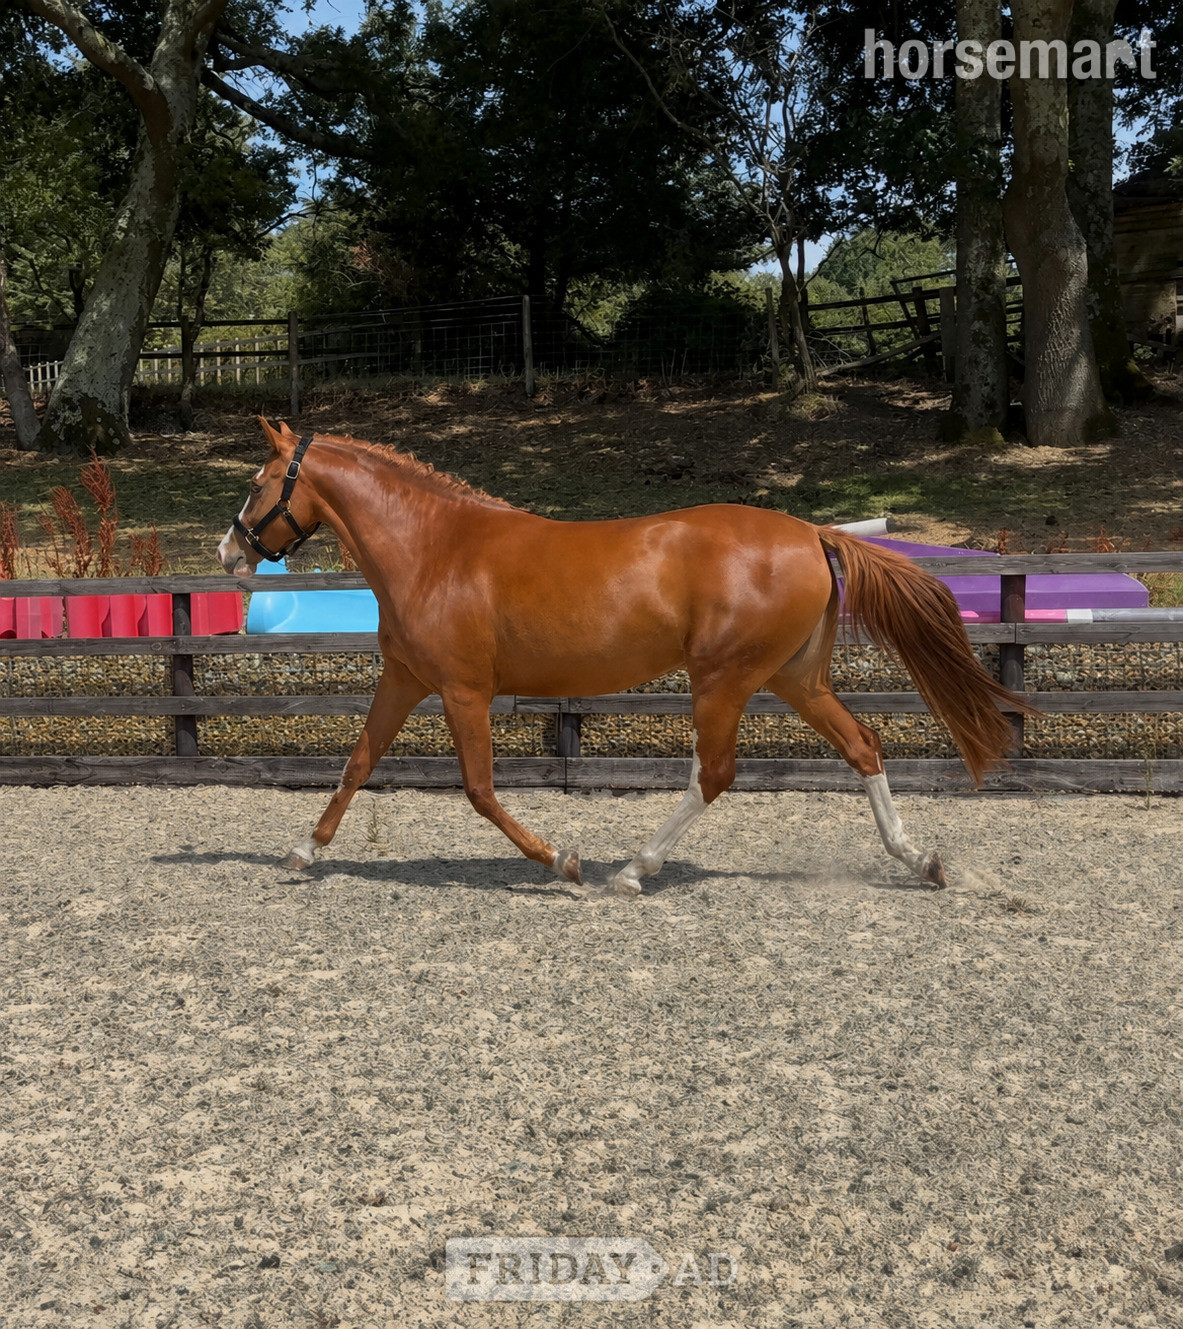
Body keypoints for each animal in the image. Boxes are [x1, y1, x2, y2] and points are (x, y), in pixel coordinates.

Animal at [218, 418, 1036, 895]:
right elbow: (357, 764)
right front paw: (303, 851)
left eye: (257, 483)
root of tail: (811, 532)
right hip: (792, 679)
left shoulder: (461, 691)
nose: (228, 551)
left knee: (714, 775)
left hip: (724, 680)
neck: (434, 550)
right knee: (862, 745)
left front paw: (563, 861)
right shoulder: (405, 679)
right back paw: (918, 860)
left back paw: (632, 871)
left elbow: (479, 790)